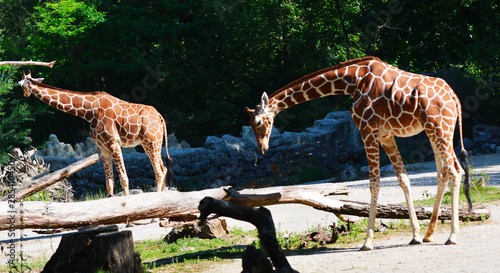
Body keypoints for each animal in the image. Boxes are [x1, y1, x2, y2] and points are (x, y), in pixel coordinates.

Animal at [18, 71, 175, 197]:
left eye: (21, 86)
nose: (24, 95)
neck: (89, 111)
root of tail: (160, 117)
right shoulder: (102, 148)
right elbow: (109, 183)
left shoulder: (114, 144)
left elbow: (124, 179)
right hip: (151, 143)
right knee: (164, 168)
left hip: (151, 142)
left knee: (159, 171)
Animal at [246, 56, 472, 250]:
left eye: (257, 122)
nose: (262, 148)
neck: (352, 81)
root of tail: (454, 97)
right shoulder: (385, 135)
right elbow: (403, 179)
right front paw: (415, 236)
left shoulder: (367, 131)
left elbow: (374, 183)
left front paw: (368, 241)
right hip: (436, 130)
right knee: (443, 172)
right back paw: (429, 234)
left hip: (439, 129)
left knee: (454, 170)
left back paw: (452, 236)